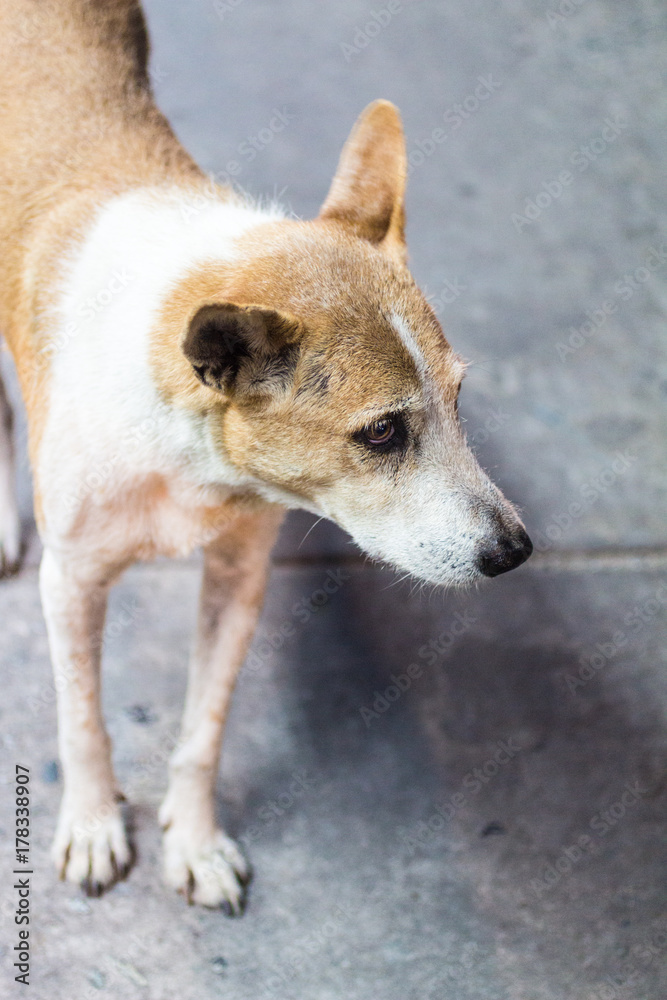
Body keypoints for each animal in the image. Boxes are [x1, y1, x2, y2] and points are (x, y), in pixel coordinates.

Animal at [0, 0, 532, 916]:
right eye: (381, 433)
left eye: (459, 398)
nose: (515, 551)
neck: (190, 460)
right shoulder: (70, 581)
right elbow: (83, 718)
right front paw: (96, 825)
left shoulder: (238, 575)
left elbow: (202, 730)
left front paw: (194, 842)